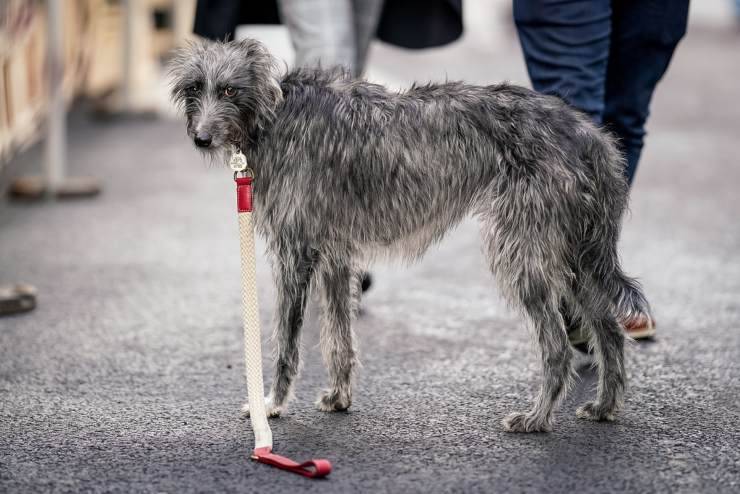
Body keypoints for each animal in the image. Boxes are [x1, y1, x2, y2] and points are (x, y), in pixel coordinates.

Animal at [171, 38, 652, 432]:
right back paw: (605, 406)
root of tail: (587, 134)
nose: (201, 138)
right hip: (573, 253)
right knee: (609, 328)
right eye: (195, 88)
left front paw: (270, 405)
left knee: (558, 346)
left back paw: (536, 418)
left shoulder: (296, 252)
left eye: (229, 90)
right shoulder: (335, 256)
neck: (275, 111)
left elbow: (287, 342)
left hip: (523, 250)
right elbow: (339, 335)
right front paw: (340, 396)